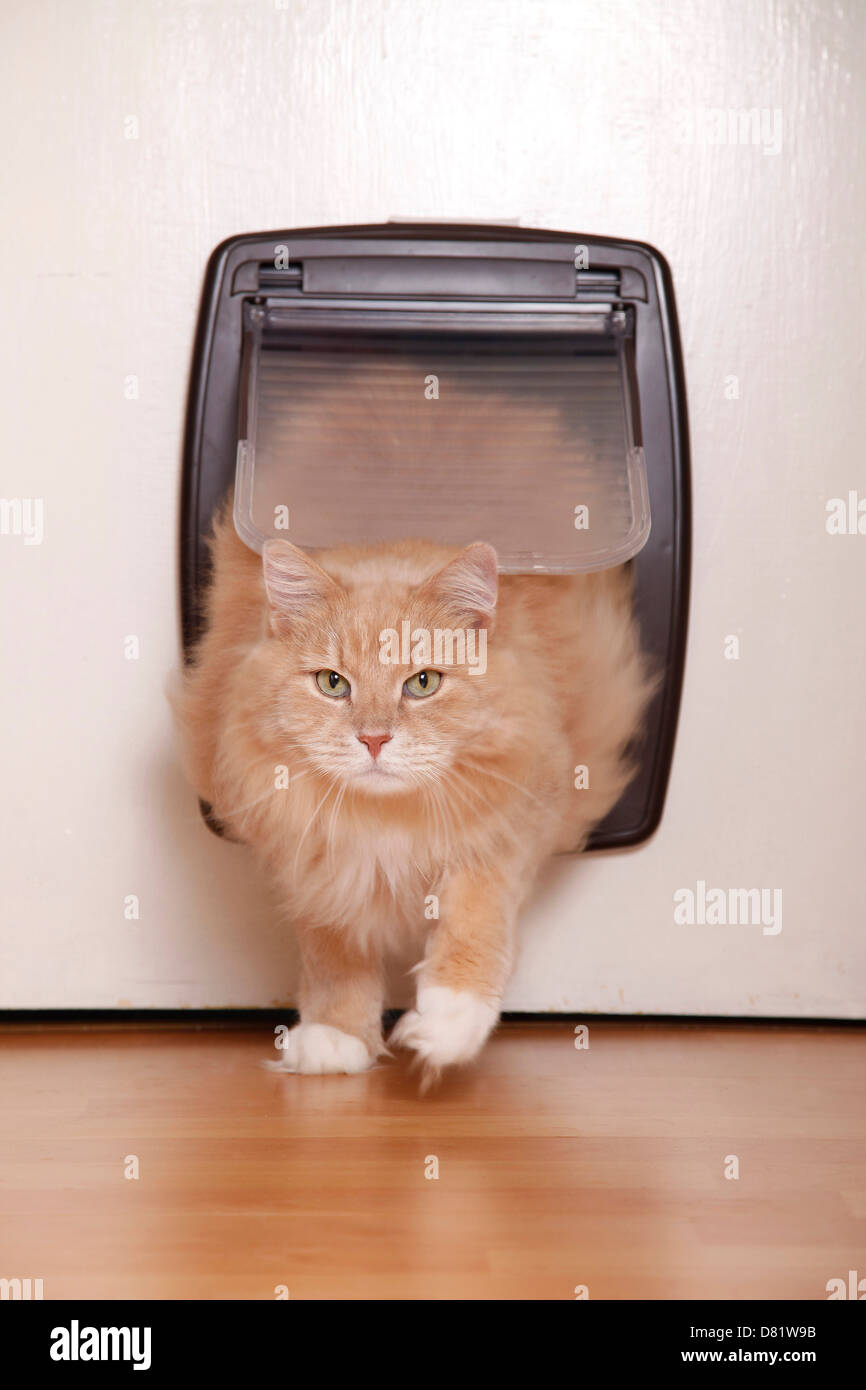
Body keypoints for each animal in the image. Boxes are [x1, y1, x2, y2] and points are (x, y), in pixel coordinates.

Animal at [173, 503, 653, 1084]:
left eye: (422, 683)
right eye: (333, 683)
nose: (374, 739)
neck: (385, 821)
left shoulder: (506, 831)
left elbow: (473, 921)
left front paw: (447, 1023)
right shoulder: (316, 862)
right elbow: (334, 953)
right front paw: (336, 1036)